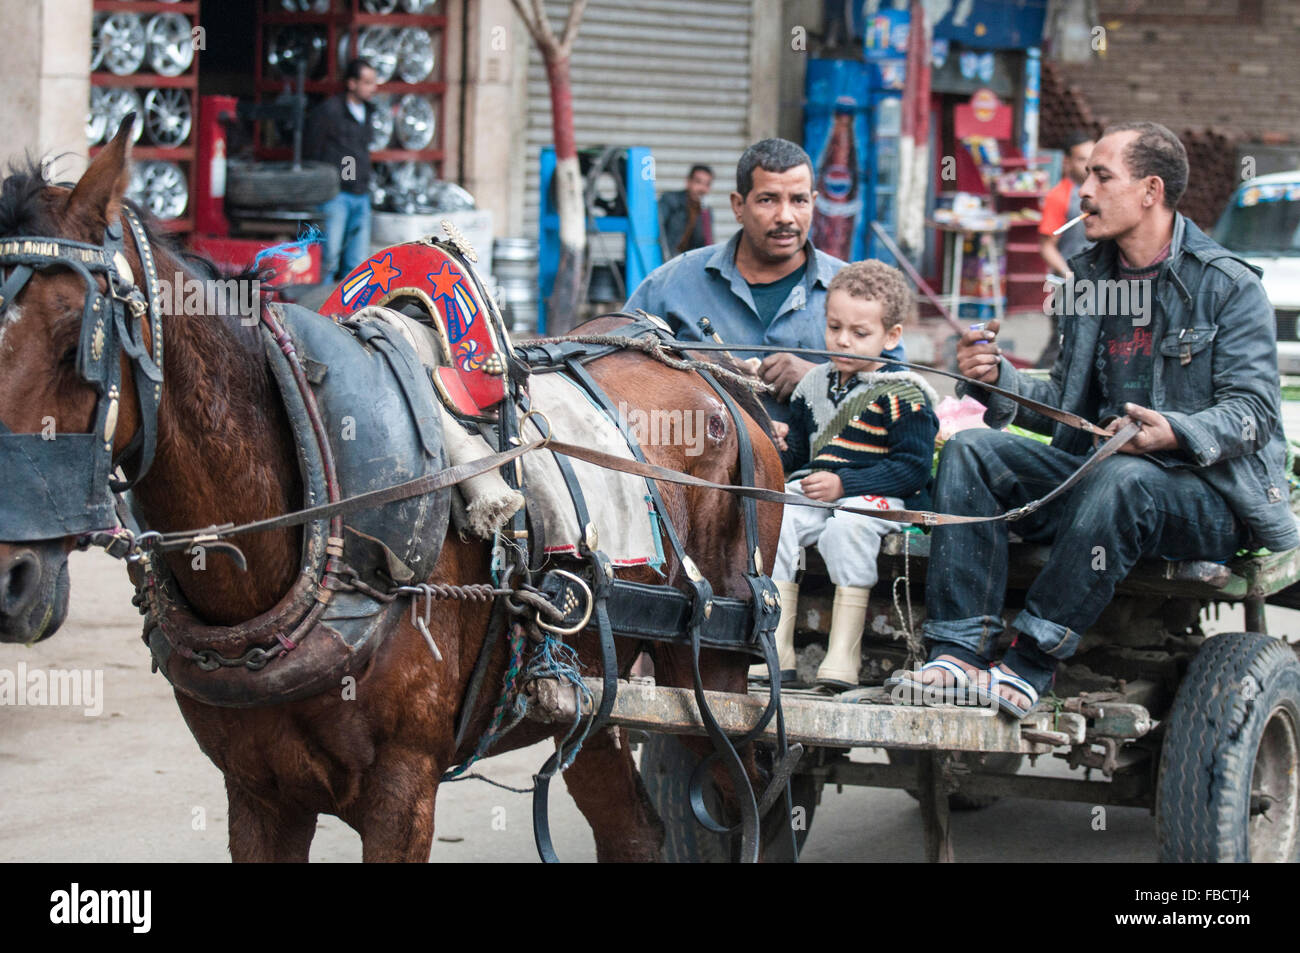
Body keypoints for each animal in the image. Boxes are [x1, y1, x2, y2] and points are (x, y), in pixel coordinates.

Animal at [0, 122, 780, 858]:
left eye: (77, 339)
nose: (12, 577)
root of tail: (720, 381)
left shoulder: (402, 790)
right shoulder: (257, 791)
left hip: (717, 670)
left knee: (747, 789)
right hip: (595, 697)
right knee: (634, 831)